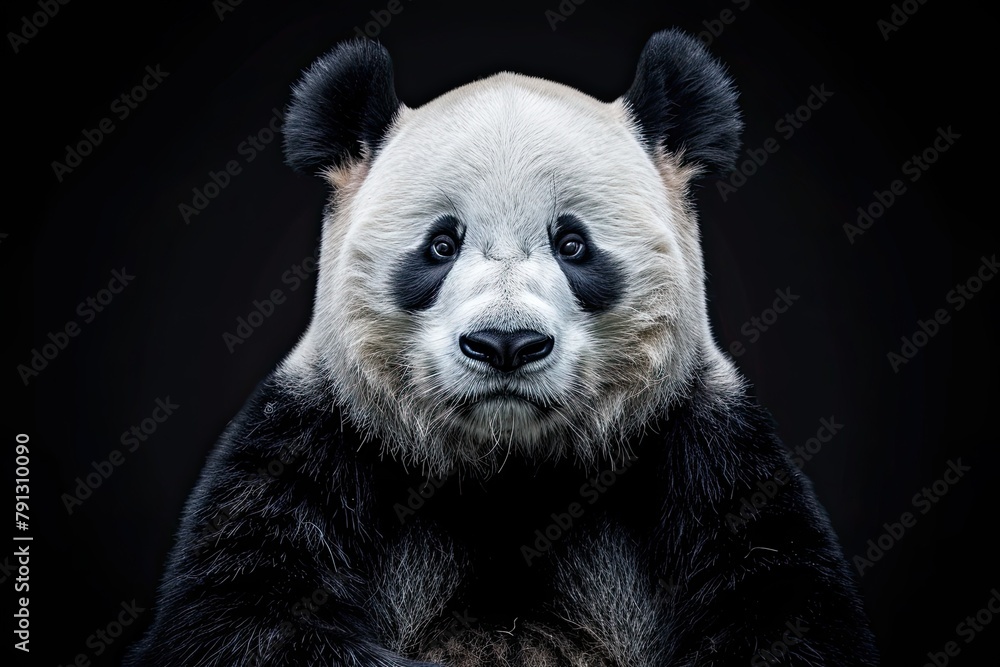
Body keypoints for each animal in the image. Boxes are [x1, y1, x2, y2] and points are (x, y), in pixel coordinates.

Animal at [126, 29, 878, 666]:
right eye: (440, 244)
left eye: (573, 243)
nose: (506, 343)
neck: (509, 469)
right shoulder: (317, 438)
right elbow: (246, 612)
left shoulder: (704, 452)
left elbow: (784, 608)